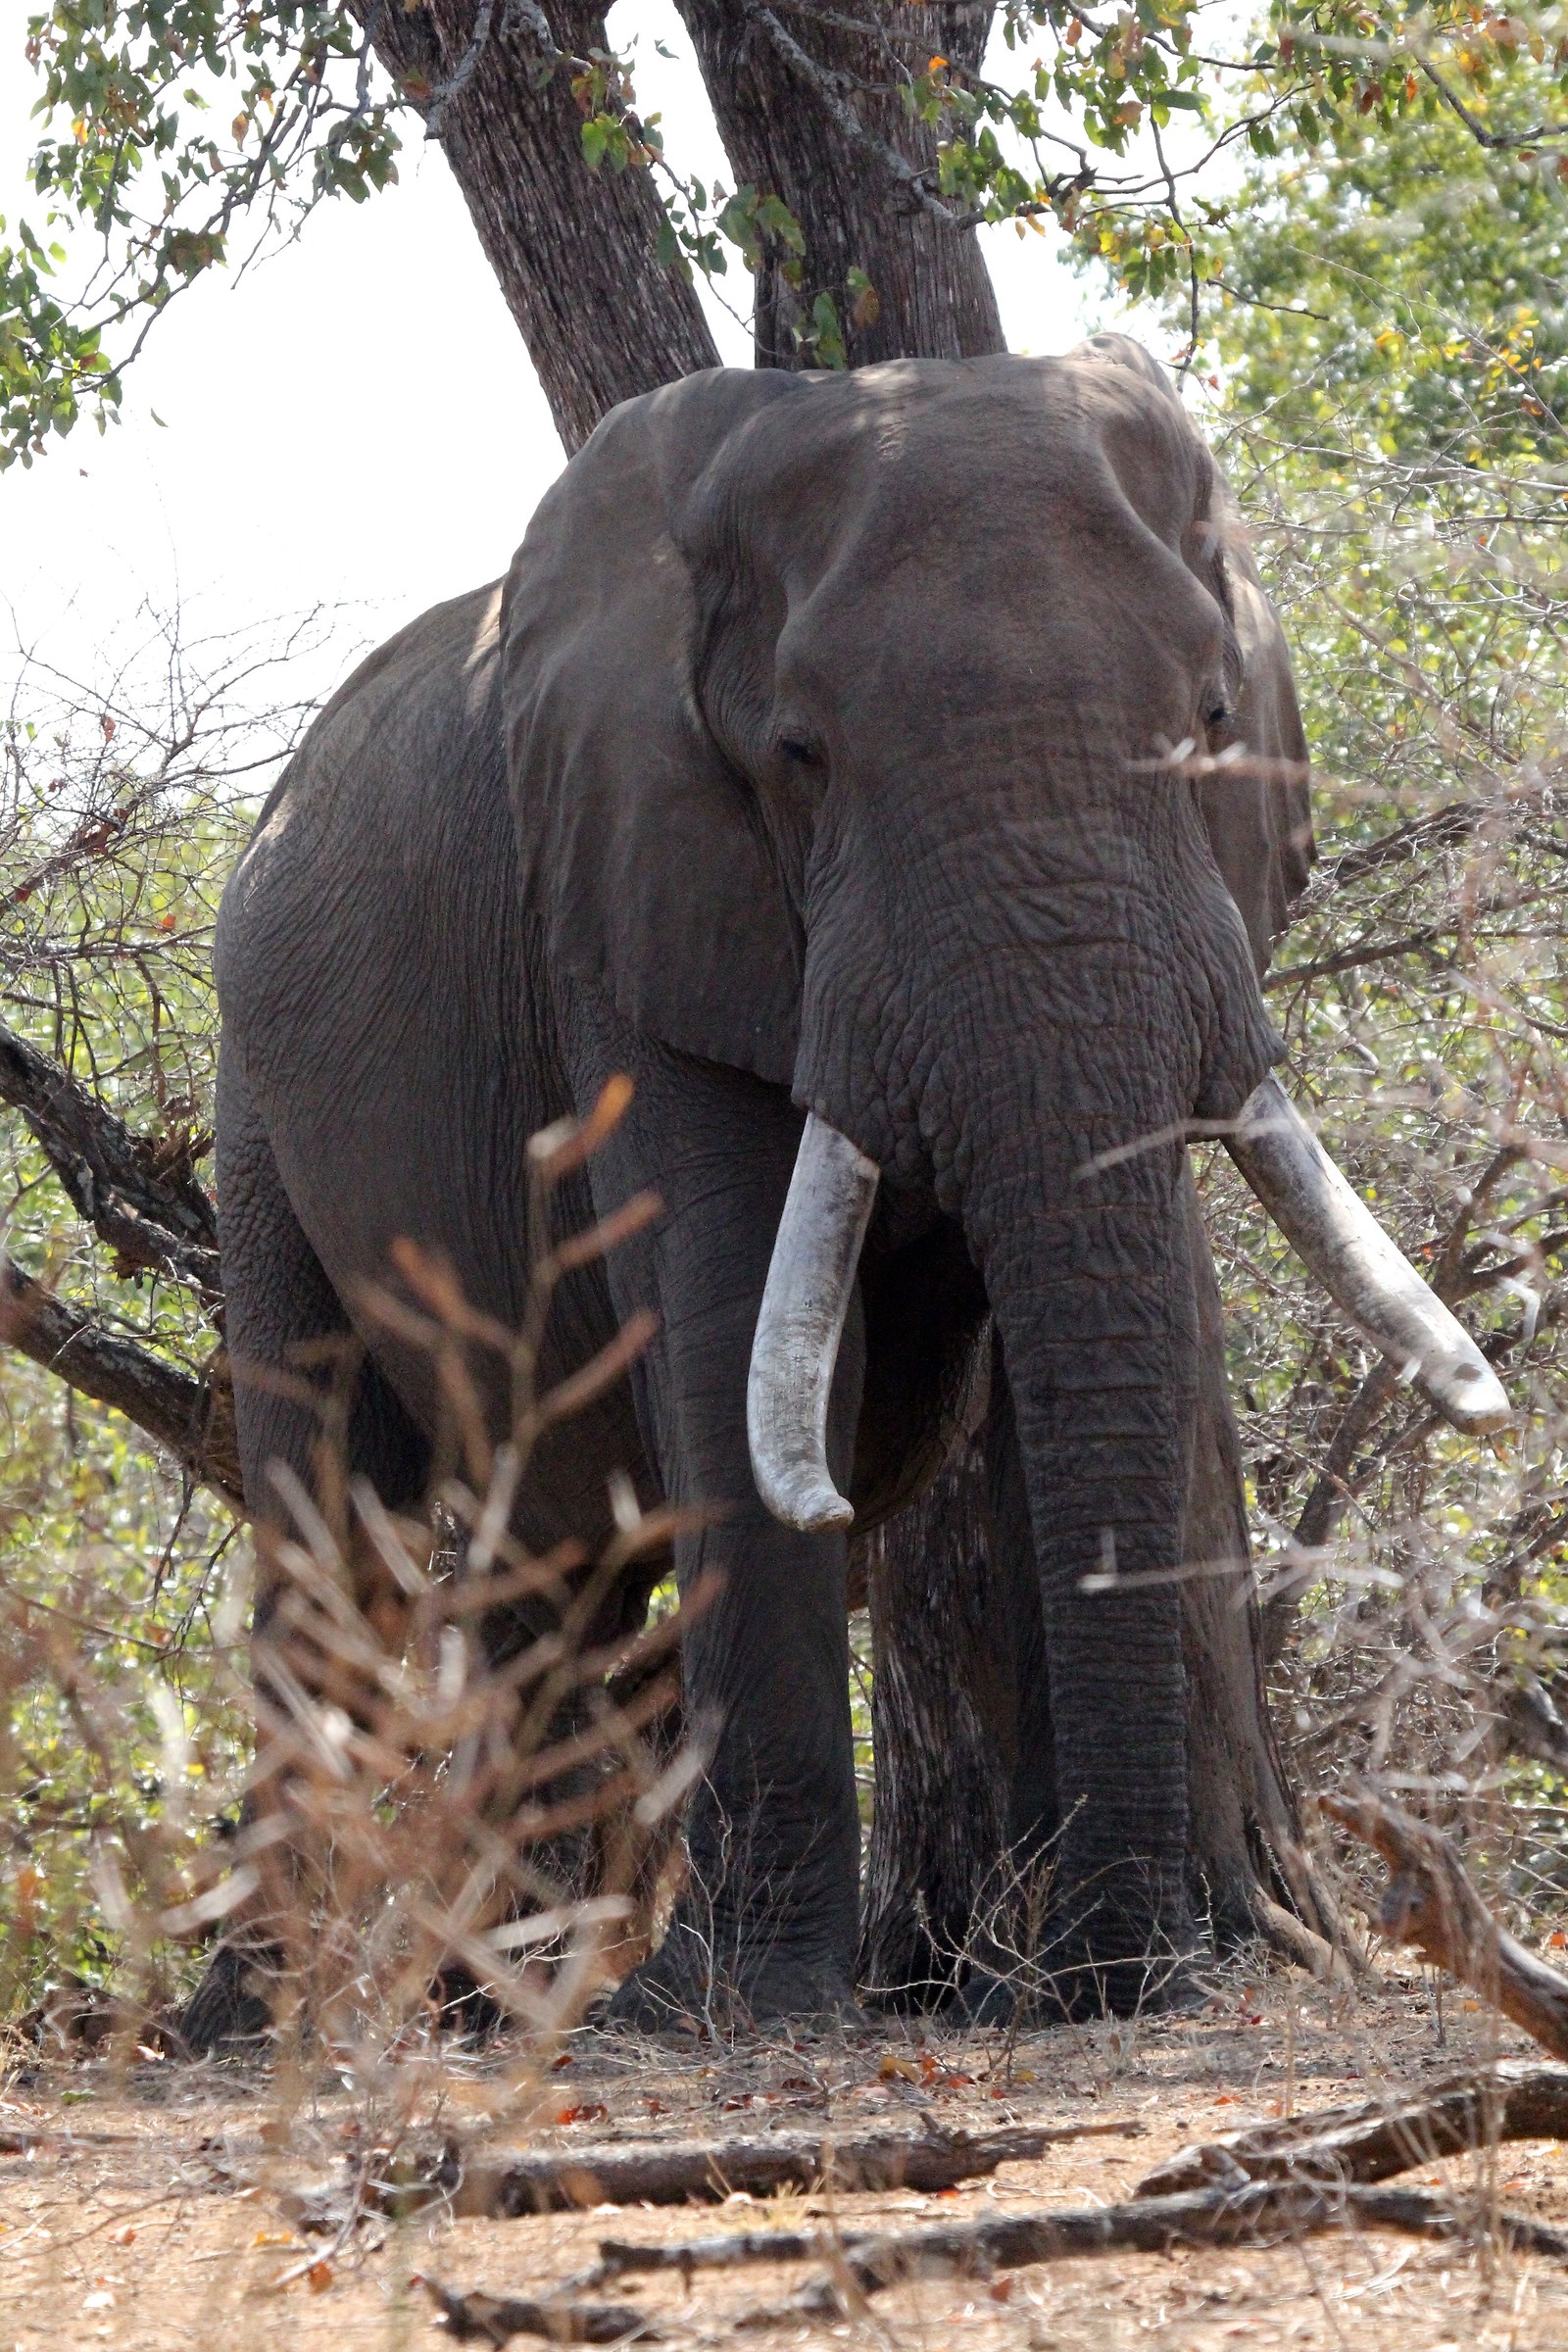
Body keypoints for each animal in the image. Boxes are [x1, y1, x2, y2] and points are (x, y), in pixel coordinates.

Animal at [207, 334, 1506, 2032]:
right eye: (801, 758)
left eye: (1219, 712)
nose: (1114, 1973)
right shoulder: (633, 899)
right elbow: (727, 1336)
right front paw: (747, 2005)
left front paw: (1077, 1977)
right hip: (252, 1094)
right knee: (331, 1514)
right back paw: (261, 2019)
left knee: (545, 1573)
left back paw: (487, 2008)